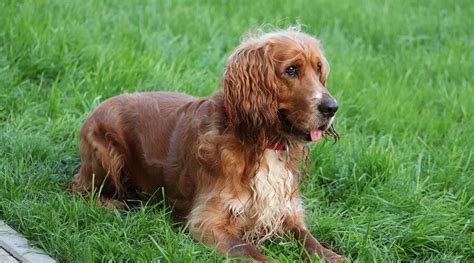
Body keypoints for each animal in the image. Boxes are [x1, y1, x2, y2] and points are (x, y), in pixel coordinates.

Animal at [70, 27, 342, 262]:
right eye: (291, 70)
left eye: (318, 69)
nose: (332, 107)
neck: (262, 144)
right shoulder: (208, 222)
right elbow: (252, 252)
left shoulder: (286, 212)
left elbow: (310, 240)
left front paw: (333, 255)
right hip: (105, 156)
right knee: (78, 191)